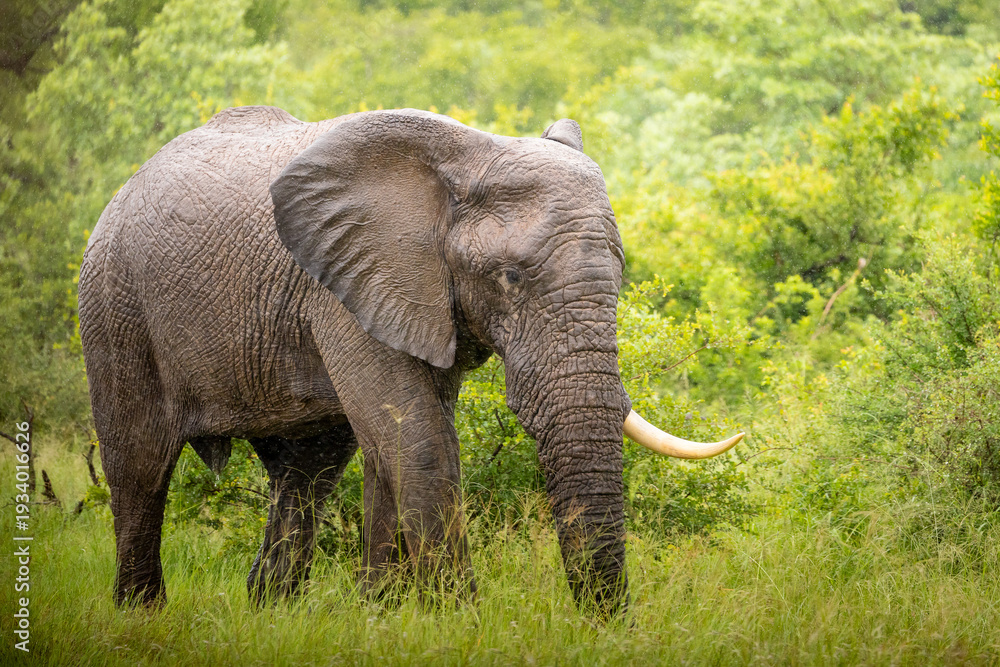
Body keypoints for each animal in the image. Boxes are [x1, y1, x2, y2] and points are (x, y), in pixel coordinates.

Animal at [78, 106, 742, 616]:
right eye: (509, 278)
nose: (603, 626)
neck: (467, 158)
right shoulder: (346, 285)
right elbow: (418, 436)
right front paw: (462, 620)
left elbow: (394, 439)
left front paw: (386, 615)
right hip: (114, 302)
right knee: (139, 463)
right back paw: (142, 616)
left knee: (308, 471)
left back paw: (272, 612)